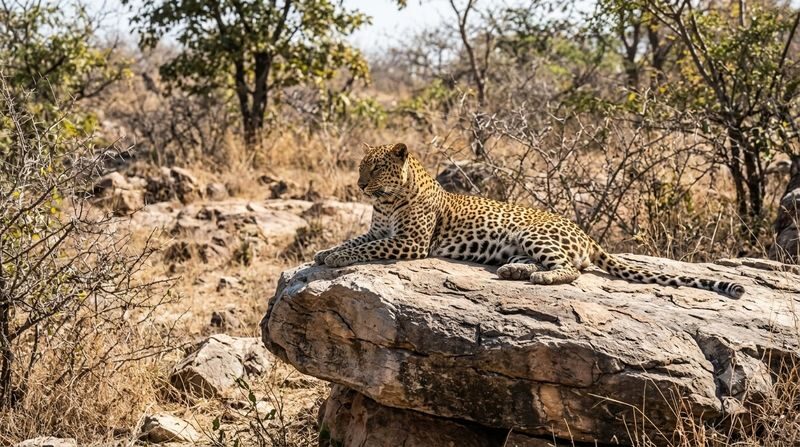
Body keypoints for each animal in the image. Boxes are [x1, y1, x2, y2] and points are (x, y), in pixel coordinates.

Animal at [314, 142, 746, 298]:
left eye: (375, 168)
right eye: (361, 167)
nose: (359, 184)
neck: (388, 200)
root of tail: (583, 231)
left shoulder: (409, 243)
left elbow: (366, 249)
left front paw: (335, 259)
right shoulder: (378, 229)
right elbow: (355, 241)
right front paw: (324, 252)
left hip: (534, 232)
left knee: (571, 270)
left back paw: (539, 278)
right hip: (524, 242)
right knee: (554, 263)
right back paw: (514, 271)